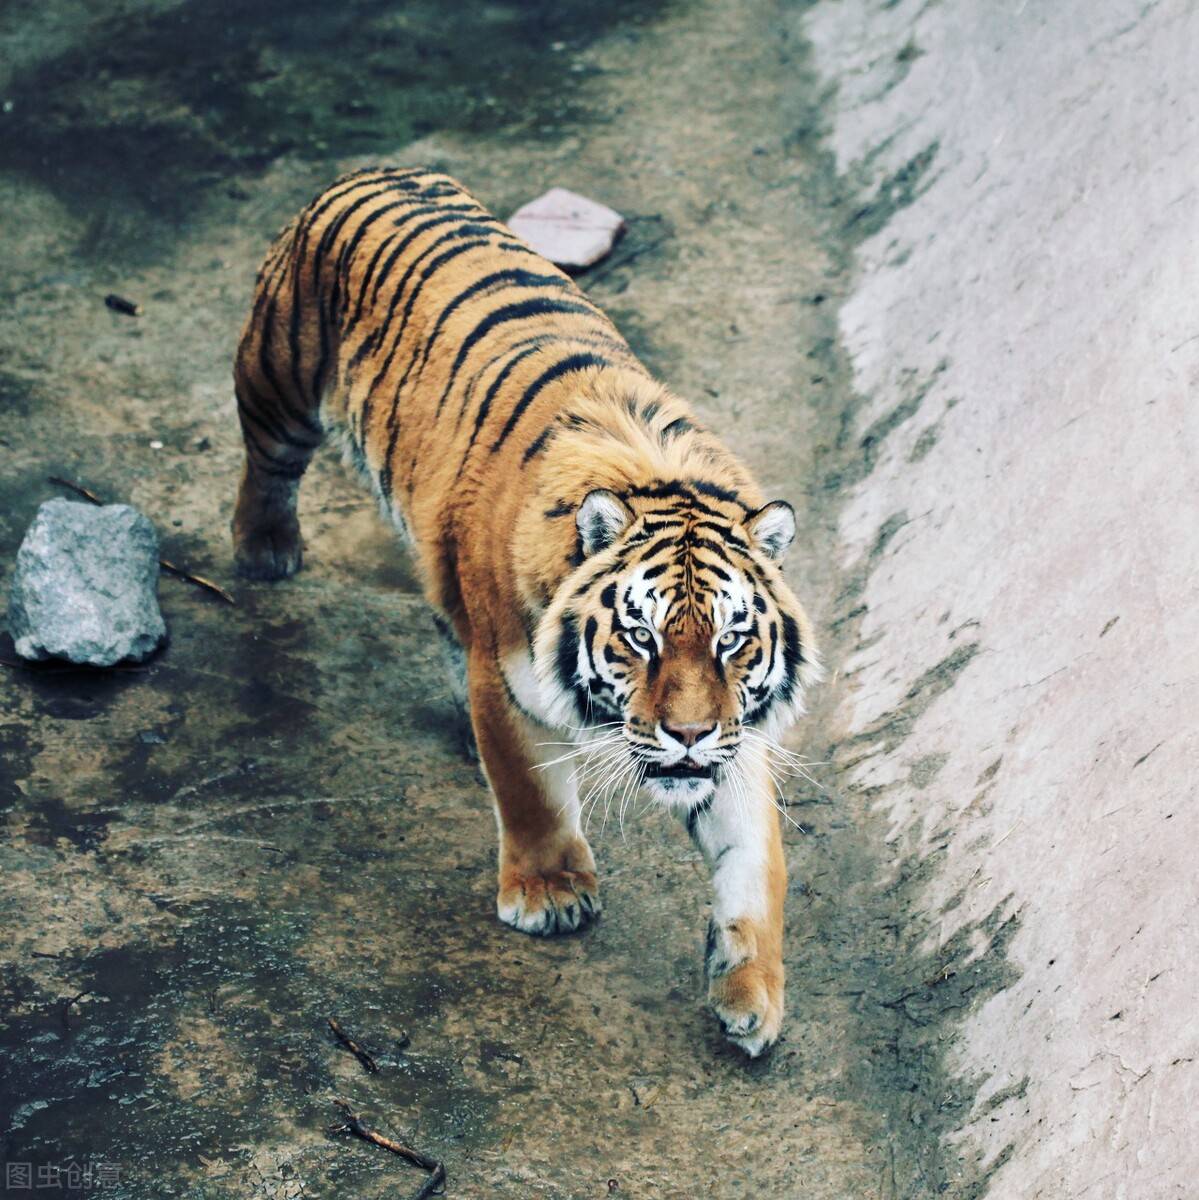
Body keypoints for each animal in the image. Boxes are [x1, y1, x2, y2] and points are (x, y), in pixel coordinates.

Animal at [231, 166, 819, 1057]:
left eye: (732, 641)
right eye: (640, 637)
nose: (686, 735)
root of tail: (378, 169)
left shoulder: (734, 735)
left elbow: (754, 860)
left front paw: (750, 992)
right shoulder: (508, 684)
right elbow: (531, 792)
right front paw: (549, 896)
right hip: (278, 378)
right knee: (266, 464)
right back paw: (263, 547)